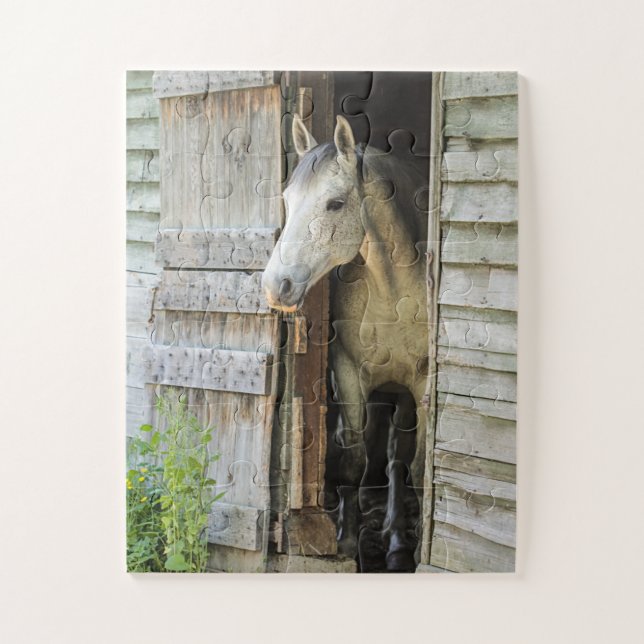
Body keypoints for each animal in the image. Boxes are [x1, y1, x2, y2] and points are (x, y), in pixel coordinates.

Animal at [261, 114, 429, 571]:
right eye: (287, 199)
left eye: (335, 204)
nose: (275, 286)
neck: (393, 291)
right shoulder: (348, 372)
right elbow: (354, 459)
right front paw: (348, 541)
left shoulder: (424, 383)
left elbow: (417, 467)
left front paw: (410, 551)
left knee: (397, 460)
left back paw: (397, 542)